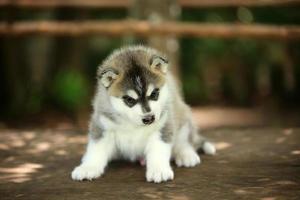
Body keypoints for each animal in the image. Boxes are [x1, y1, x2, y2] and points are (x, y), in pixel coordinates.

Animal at [71, 45, 214, 183]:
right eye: (129, 100)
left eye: (154, 94)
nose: (149, 118)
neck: (133, 124)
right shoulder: (103, 125)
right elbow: (96, 149)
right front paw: (88, 167)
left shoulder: (163, 126)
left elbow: (159, 149)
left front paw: (159, 170)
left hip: (183, 116)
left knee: (184, 140)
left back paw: (186, 154)